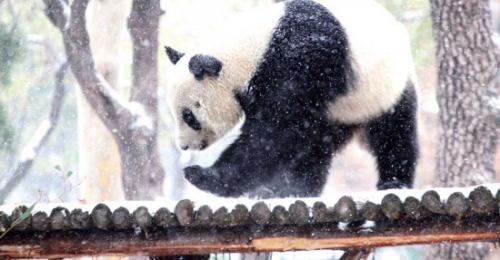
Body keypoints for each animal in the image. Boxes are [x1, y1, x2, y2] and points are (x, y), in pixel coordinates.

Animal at [166, 0, 420, 197]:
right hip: (341, 109)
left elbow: (275, 132)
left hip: (382, 89)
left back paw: (393, 182)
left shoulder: (300, 63)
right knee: (319, 145)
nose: (184, 145)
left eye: (189, 116)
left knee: (394, 133)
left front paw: (204, 175)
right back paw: (297, 189)